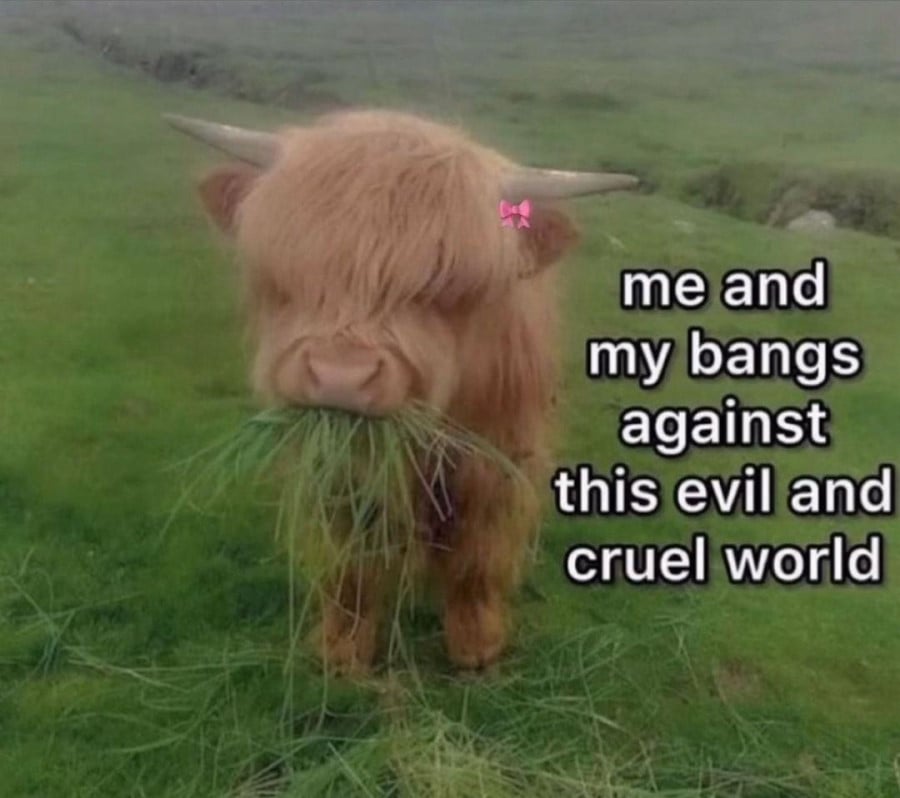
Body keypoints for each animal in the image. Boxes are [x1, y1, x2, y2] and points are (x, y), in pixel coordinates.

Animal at [166, 110, 638, 673]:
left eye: (445, 287)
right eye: (292, 272)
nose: (341, 377)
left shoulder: (498, 455)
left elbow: (478, 553)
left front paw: (477, 645)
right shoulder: (339, 471)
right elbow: (349, 561)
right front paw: (342, 649)